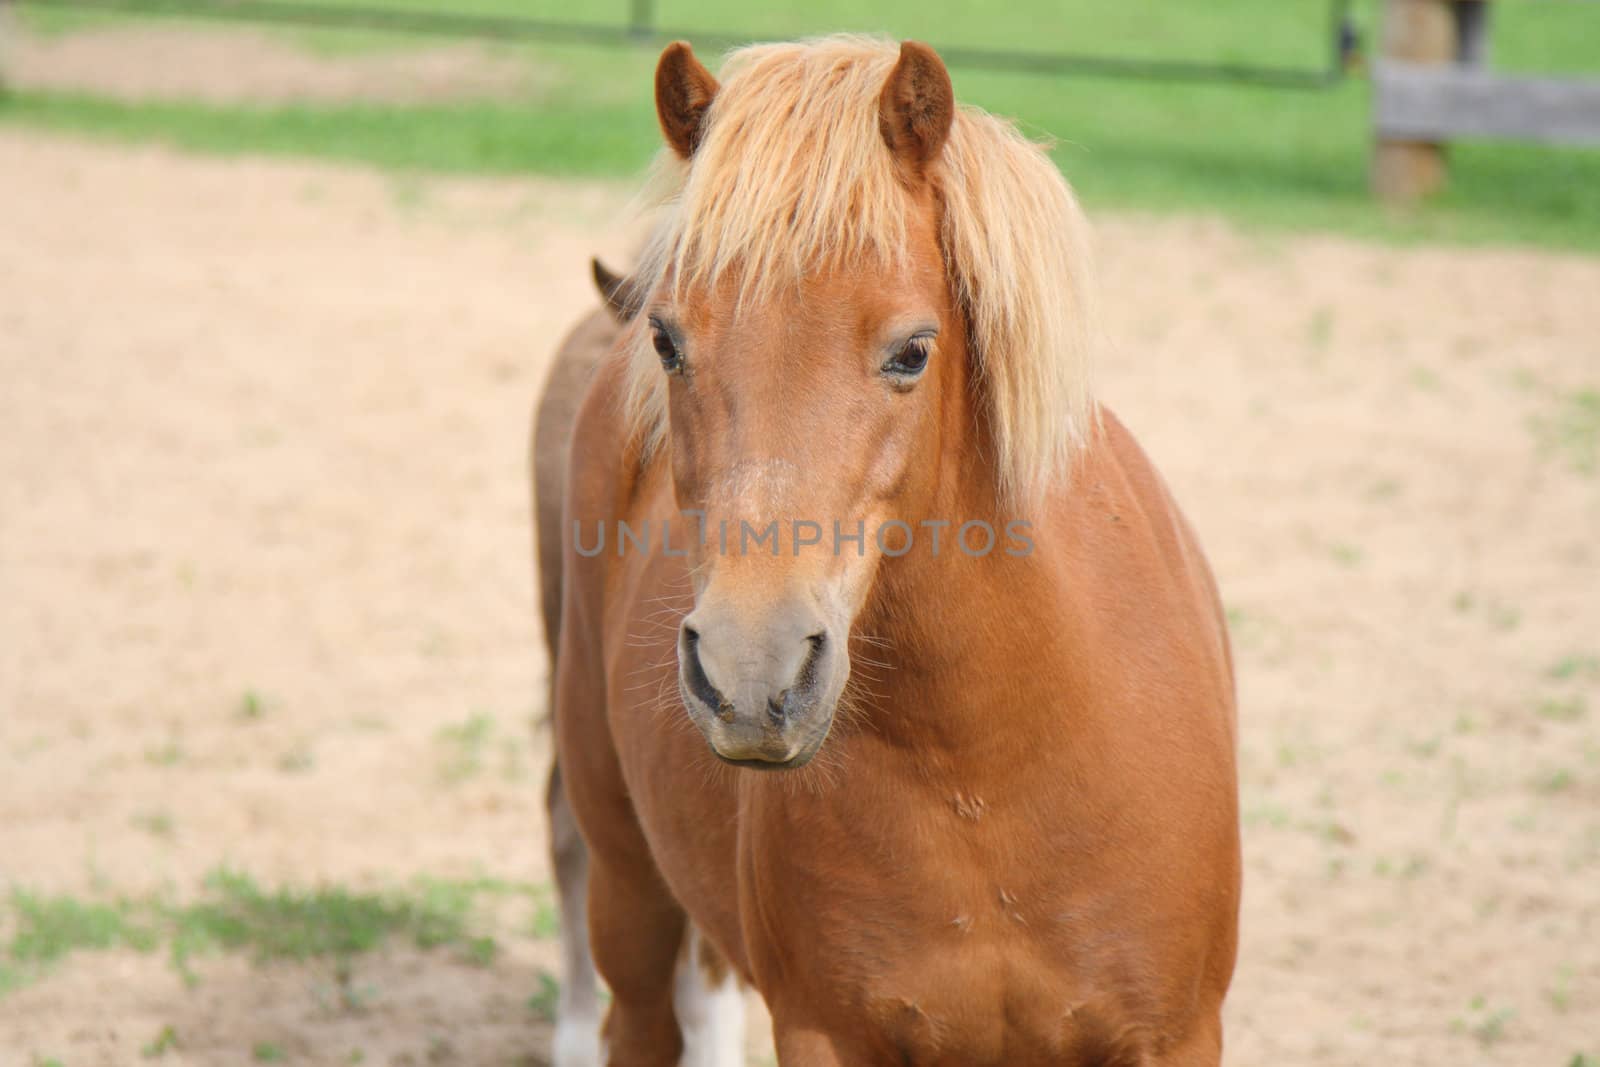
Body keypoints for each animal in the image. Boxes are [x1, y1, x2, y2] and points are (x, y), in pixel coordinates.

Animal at [537, 35, 1235, 1067]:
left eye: (912, 350)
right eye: (666, 340)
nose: (751, 671)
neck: (986, 773)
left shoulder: (1177, 1033)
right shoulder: (824, 1030)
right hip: (627, 884)